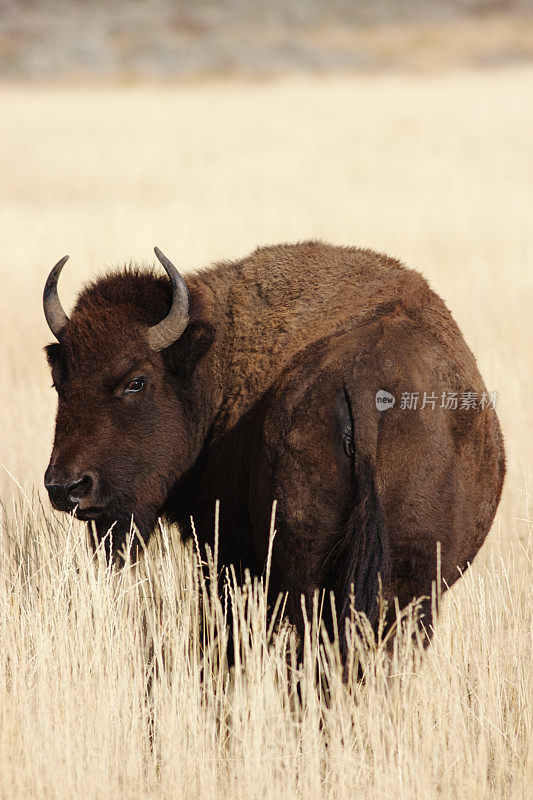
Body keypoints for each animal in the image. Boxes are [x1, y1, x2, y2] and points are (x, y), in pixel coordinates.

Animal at [44, 244, 502, 656]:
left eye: (136, 381)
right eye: (58, 382)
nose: (67, 487)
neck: (215, 363)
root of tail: (364, 381)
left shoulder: (225, 552)